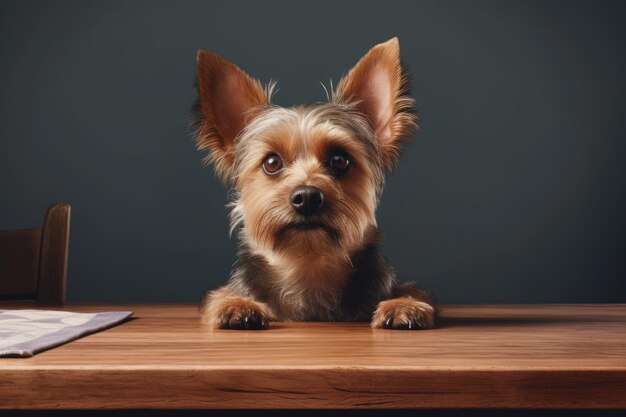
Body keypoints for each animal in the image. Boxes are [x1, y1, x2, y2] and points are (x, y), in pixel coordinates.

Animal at [194, 37, 434, 330]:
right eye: (271, 162)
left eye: (339, 160)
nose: (307, 196)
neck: (308, 266)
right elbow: (220, 297)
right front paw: (236, 305)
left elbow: (412, 292)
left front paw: (404, 306)